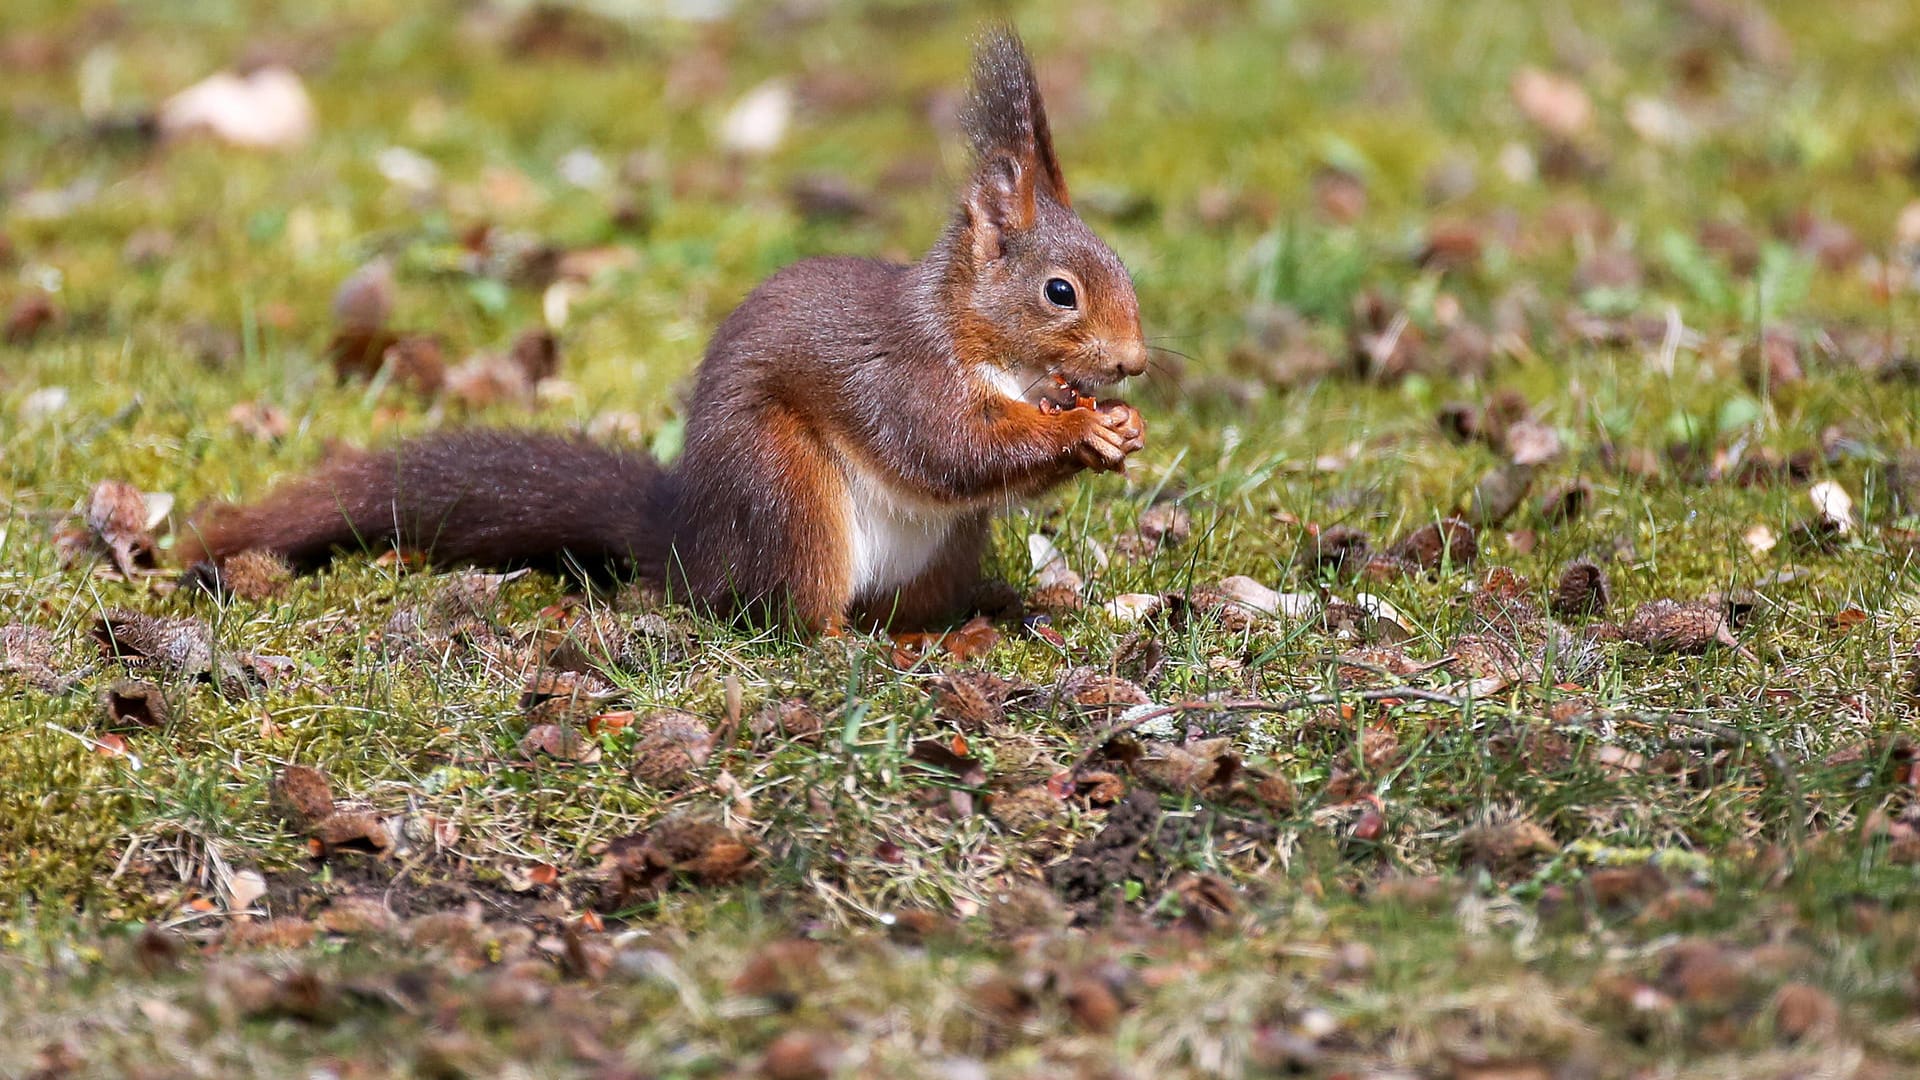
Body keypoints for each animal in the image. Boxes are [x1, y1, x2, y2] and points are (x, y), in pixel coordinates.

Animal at [180, 29, 1144, 626]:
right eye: (1060, 292)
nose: (1133, 364)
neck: (980, 340)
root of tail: (690, 546)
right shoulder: (903, 374)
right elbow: (948, 447)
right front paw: (1081, 429)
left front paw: (1116, 425)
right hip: (787, 496)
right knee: (785, 614)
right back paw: (841, 643)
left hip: (941, 548)